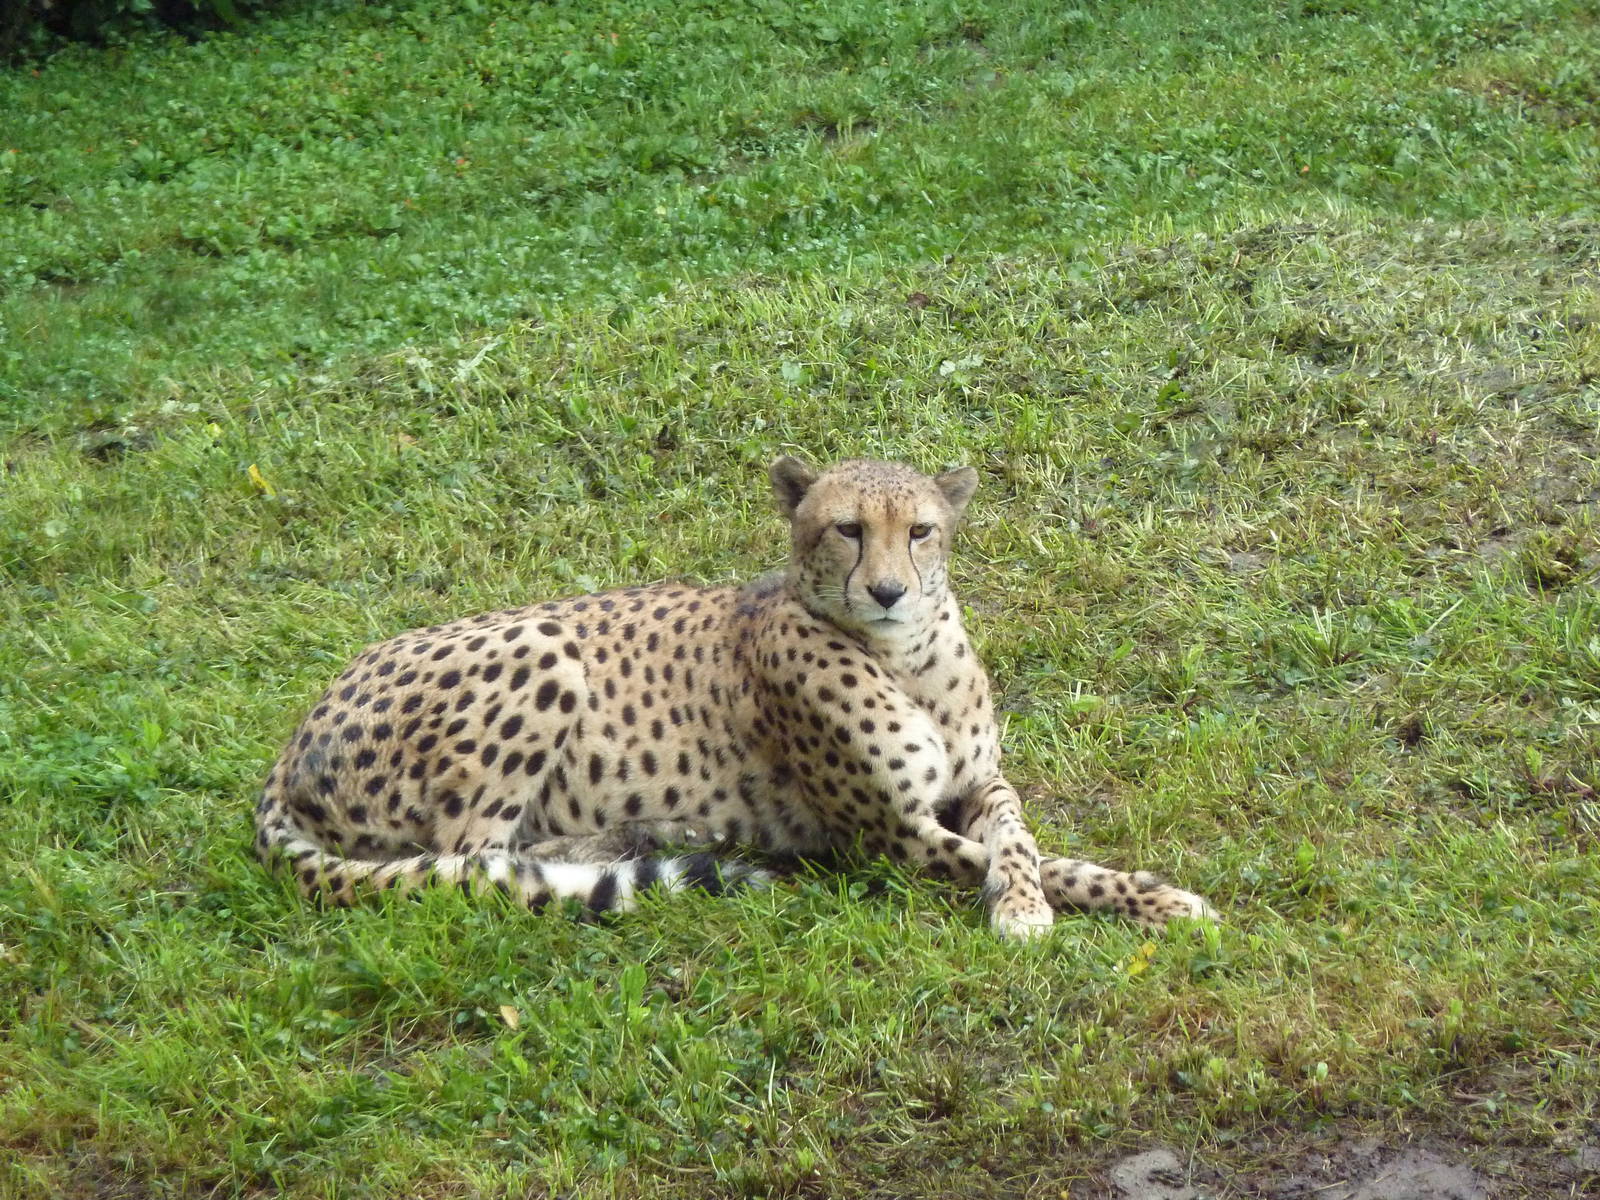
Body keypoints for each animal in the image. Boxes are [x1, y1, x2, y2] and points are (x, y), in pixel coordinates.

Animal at [255, 456, 1215, 938]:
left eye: (921, 531)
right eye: (846, 529)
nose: (888, 591)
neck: (903, 654)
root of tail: (296, 734)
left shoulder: (982, 782)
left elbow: (1025, 844)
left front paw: (1113, 898)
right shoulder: (888, 835)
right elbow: (1038, 859)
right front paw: (1064, 905)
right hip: (542, 647)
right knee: (474, 860)